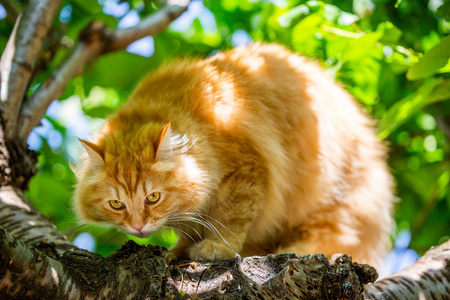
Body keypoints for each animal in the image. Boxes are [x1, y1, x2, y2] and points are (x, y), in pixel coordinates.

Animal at [74, 42, 394, 268]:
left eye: (153, 197)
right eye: (117, 204)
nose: (138, 227)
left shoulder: (247, 172)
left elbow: (230, 219)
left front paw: (217, 248)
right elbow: (188, 234)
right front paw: (175, 253)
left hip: (336, 206)